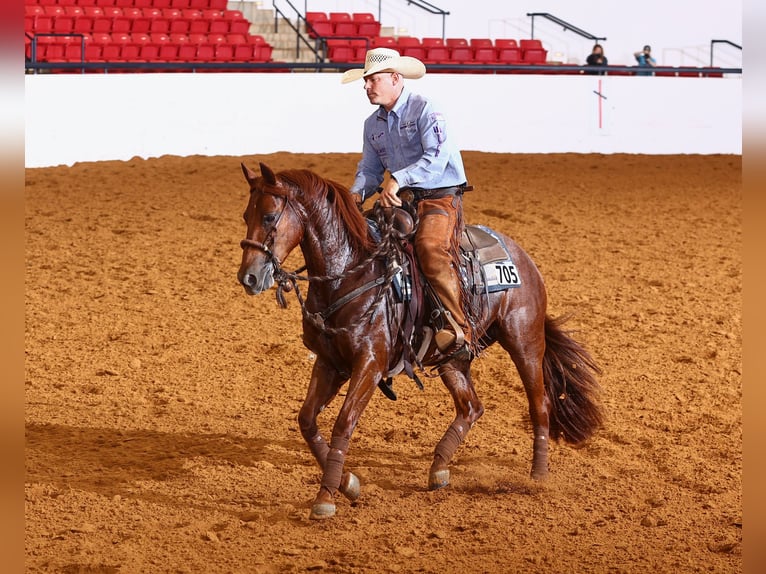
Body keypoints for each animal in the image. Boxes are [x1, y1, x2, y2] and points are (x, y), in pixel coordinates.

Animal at [237, 162, 603, 520]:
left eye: (269, 216)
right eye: (245, 215)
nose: (248, 277)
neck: (351, 274)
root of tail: (522, 256)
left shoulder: (369, 364)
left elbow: (343, 423)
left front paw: (326, 497)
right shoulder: (330, 363)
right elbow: (307, 421)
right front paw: (348, 483)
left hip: (524, 341)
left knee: (539, 404)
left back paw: (538, 476)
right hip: (453, 358)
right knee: (471, 406)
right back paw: (439, 467)